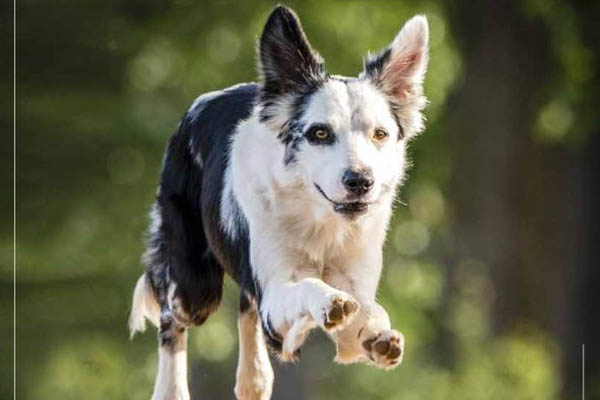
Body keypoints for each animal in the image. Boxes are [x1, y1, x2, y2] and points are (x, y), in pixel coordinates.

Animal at [129, 6, 428, 400]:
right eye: (319, 133)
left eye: (380, 134)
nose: (361, 181)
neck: (320, 224)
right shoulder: (275, 298)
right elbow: (307, 289)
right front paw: (328, 302)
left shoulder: (355, 281)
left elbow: (369, 314)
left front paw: (376, 335)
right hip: (194, 287)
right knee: (171, 321)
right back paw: (171, 389)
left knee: (245, 308)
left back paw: (254, 379)